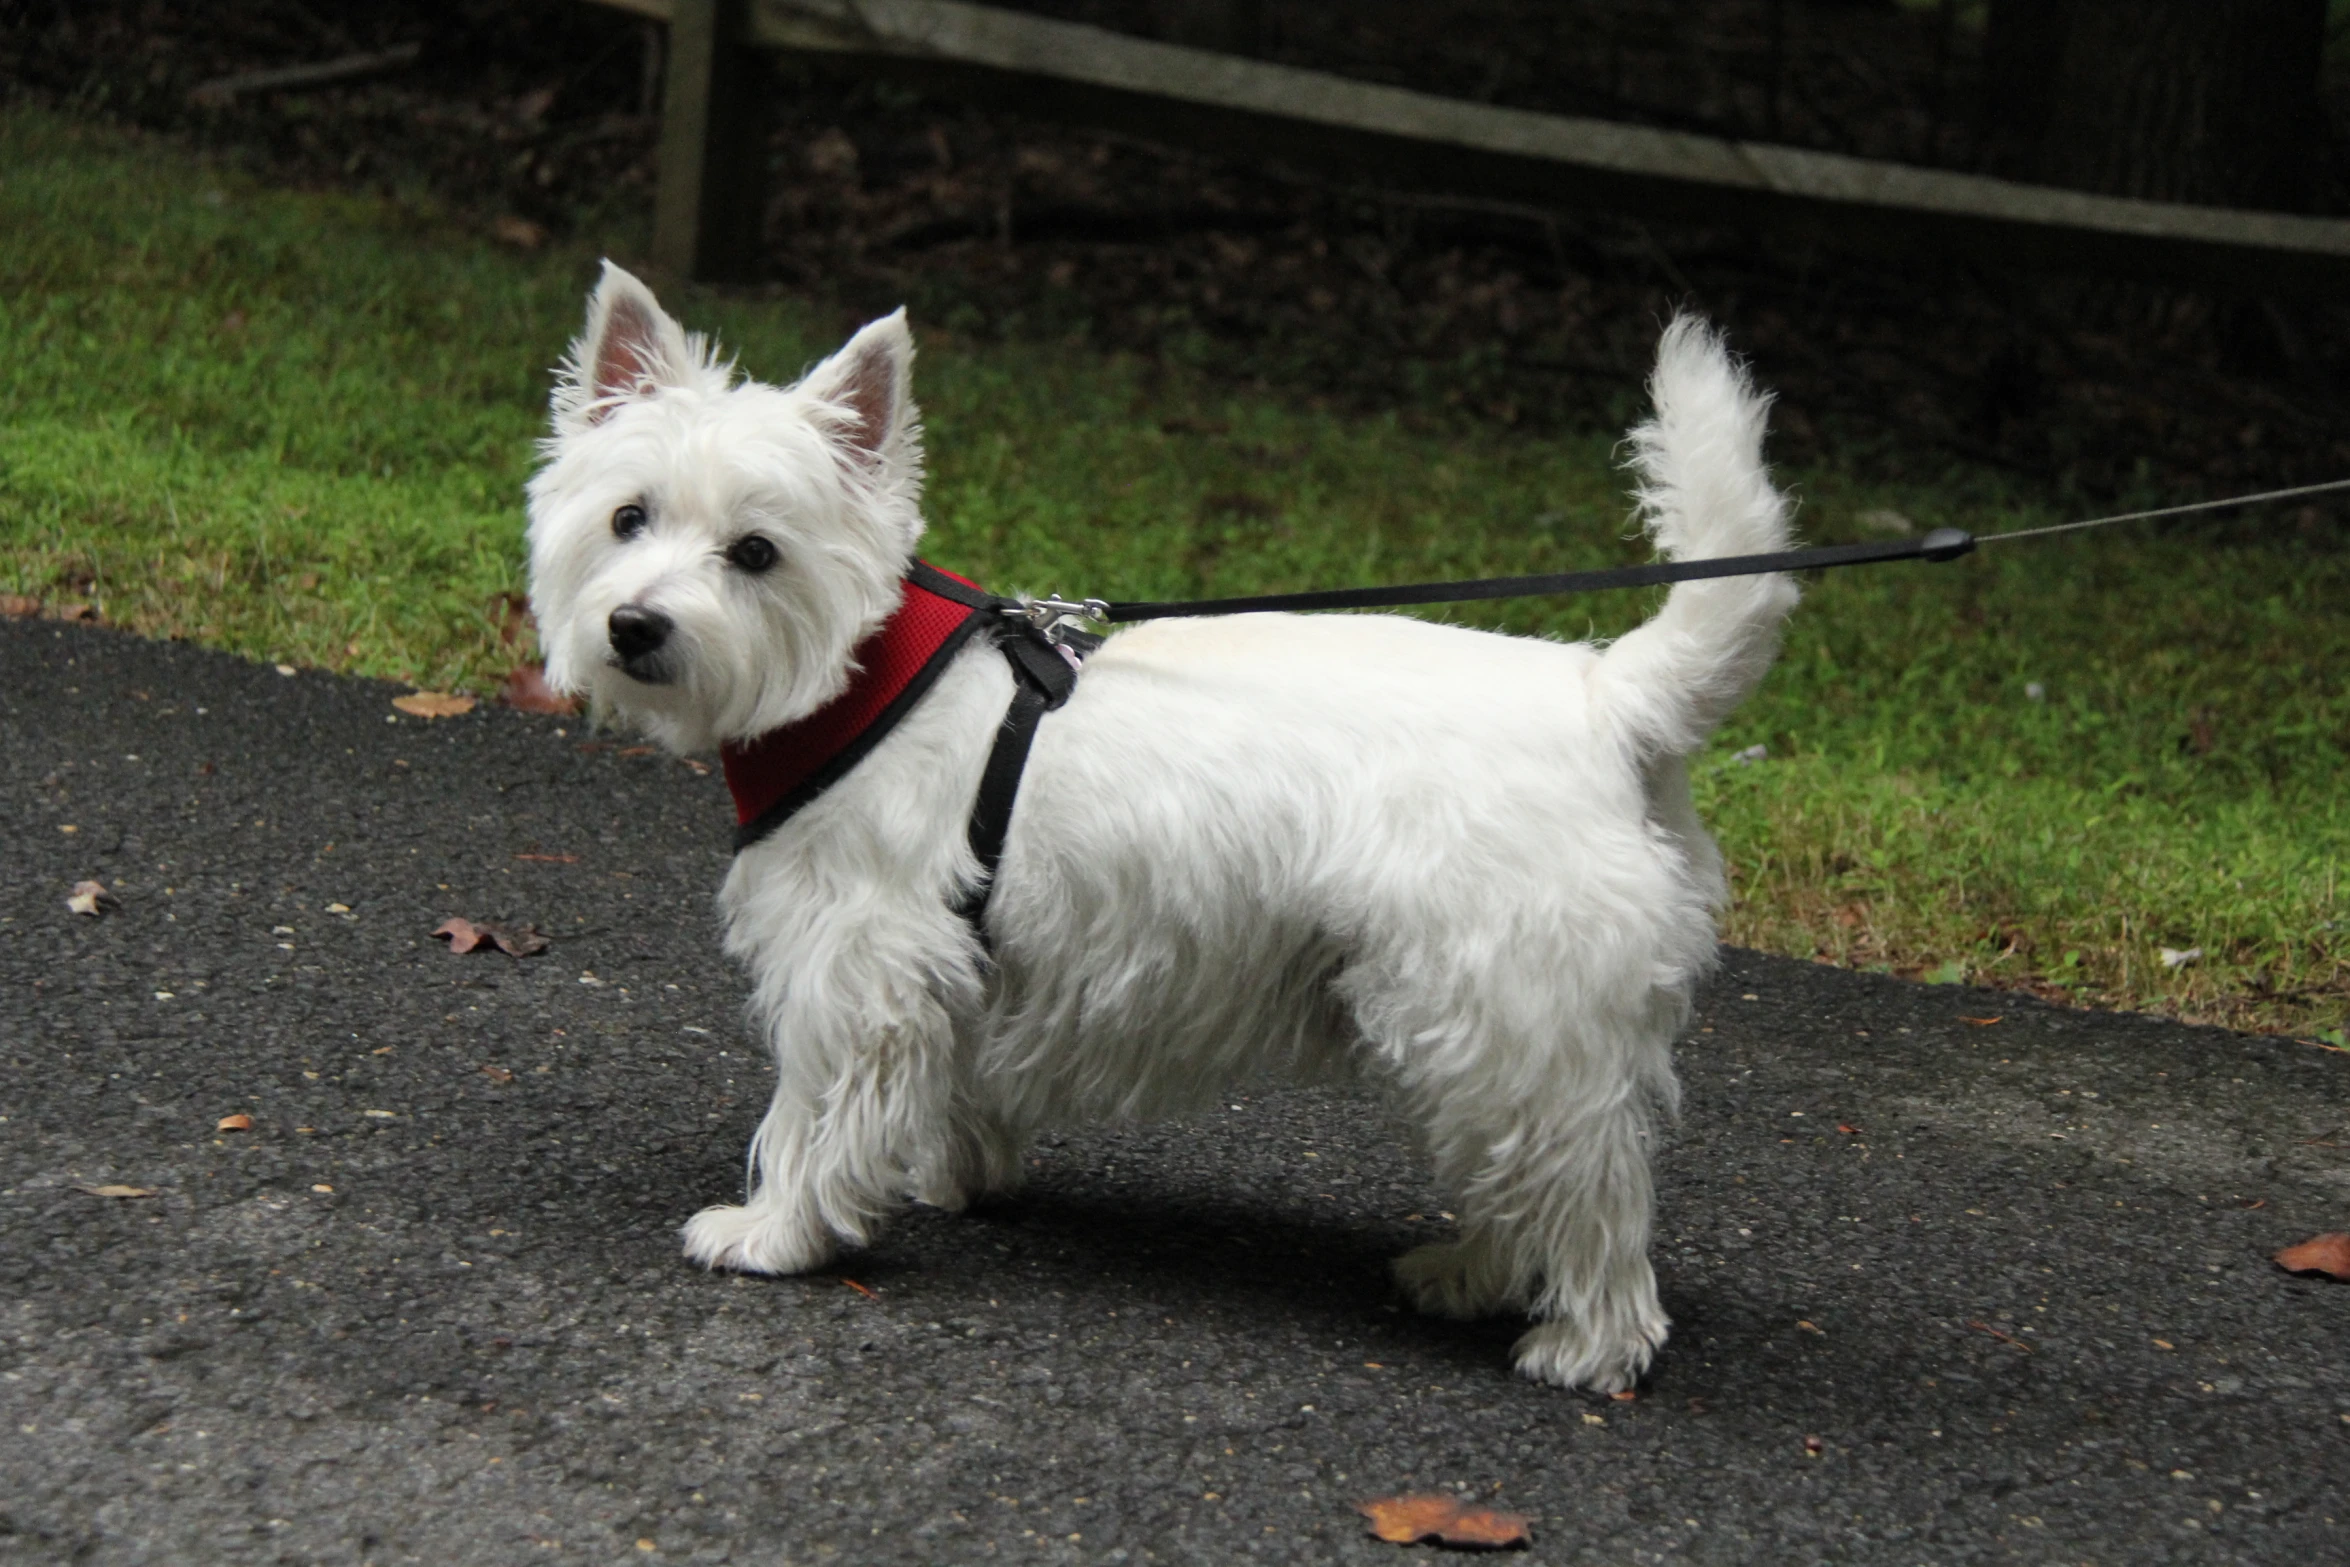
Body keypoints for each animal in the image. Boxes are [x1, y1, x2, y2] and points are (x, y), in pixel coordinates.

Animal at [524, 263, 1785, 1390]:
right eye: (628, 516)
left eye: (756, 552)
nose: (635, 626)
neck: (859, 673)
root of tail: (1610, 698)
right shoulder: (957, 959)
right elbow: (954, 1083)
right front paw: (947, 1172)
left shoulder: (855, 956)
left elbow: (812, 1108)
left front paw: (778, 1230)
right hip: (1477, 1025)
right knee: (1526, 1166)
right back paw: (1464, 1274)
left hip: (1506, 1006)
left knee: (1586, 1184)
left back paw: (1584, 1347)